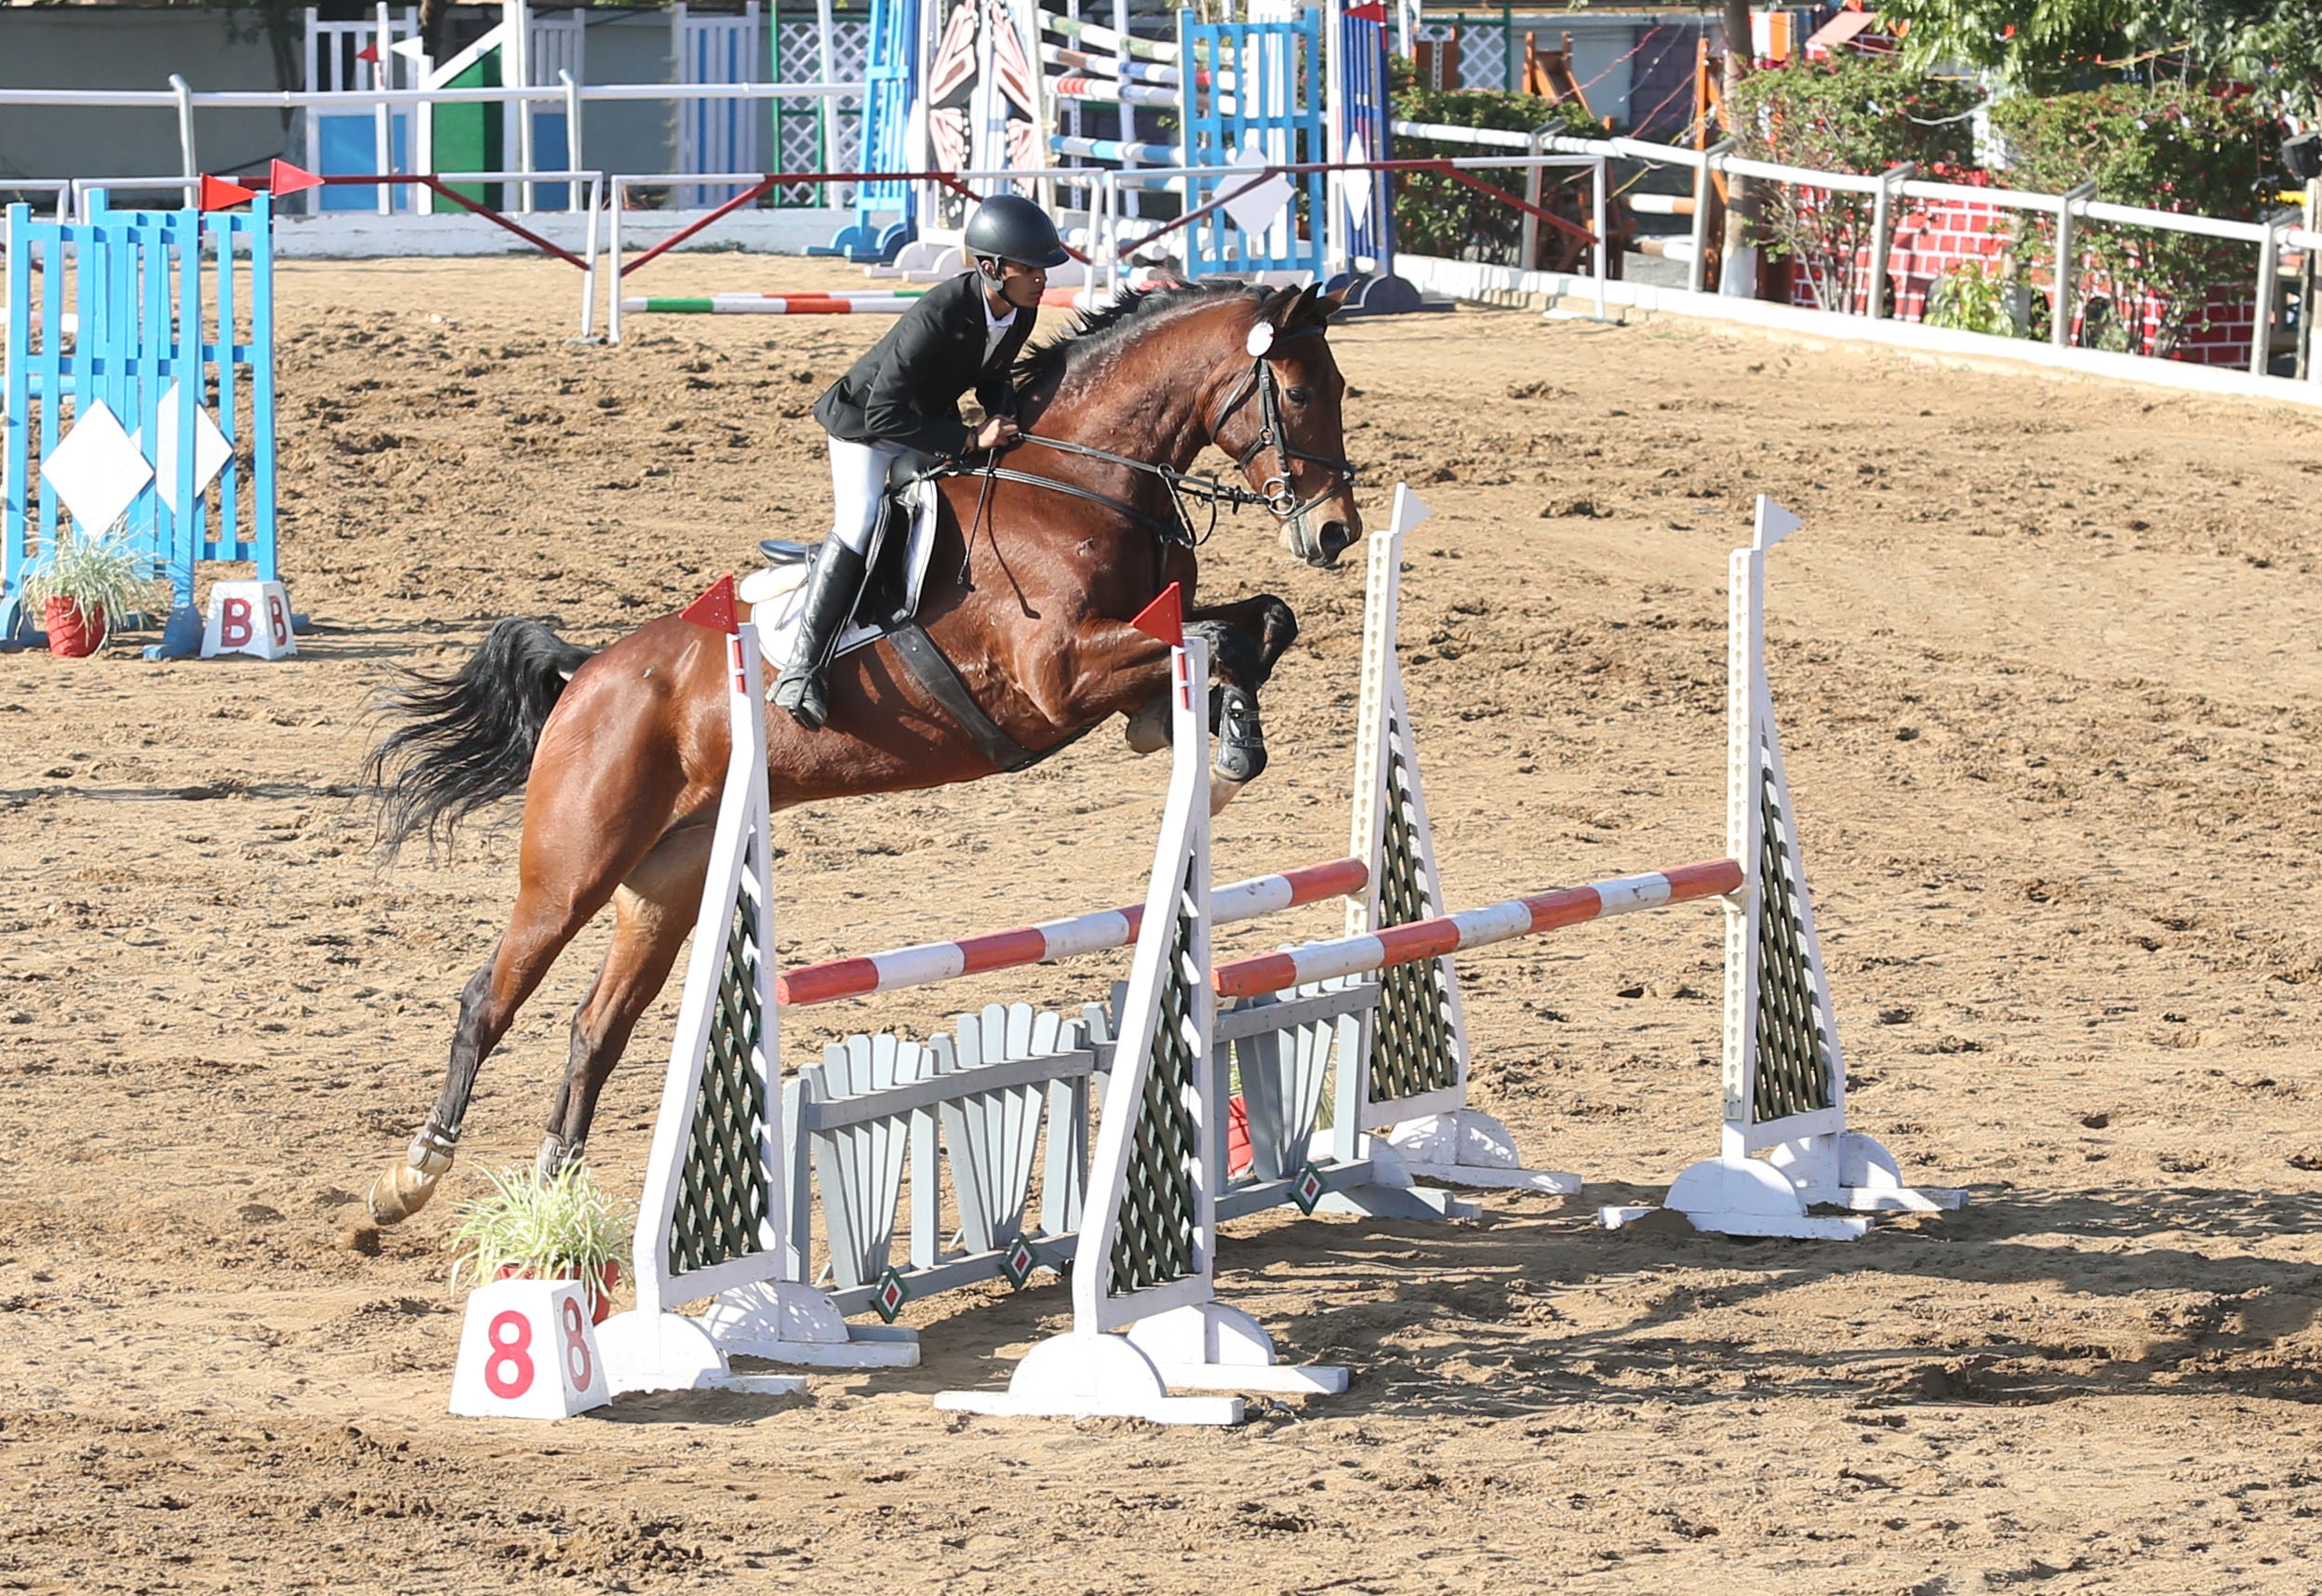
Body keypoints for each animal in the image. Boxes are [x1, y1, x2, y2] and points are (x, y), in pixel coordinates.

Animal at [361, 280, 1363, 1225]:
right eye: (1298, 392)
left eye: (1341, 386)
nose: (1336, 532)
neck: (1079, 481)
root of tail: (585, 675)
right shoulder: (1059, 674)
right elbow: (1221, 639)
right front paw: (1222, 744)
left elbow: (1263, 621)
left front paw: (1223, 739)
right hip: (573, 867)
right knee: (489, 997)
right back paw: (411, 1178)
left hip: (668, 880)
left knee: (594, 1026)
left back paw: (553, 1197)